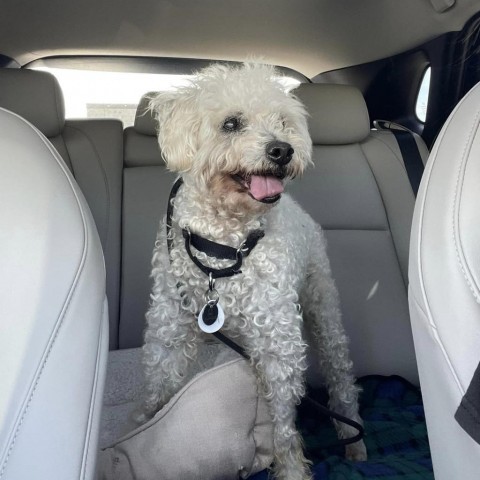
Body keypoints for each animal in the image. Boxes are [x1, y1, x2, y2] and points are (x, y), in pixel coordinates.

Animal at [142, 62, 368, 478]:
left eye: (282, 121)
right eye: (231, 123)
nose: (282, 149)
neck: (224, 239)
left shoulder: (277, 339)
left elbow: (283, 423)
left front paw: (291, 468)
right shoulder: (169, 328)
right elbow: (156, 388)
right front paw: (139, 430)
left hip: (322, 307)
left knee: (340, 373)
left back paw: (352, 439)